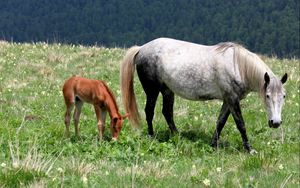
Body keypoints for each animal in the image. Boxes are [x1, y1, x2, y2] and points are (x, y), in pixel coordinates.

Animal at [120, 37, 288, 153]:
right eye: (267, 96)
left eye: (284, 96)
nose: (275, 122)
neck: (238, 66)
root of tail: (142, 48)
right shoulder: (232, 99)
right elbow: (241, 124)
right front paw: (249, 149)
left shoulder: (228, 100)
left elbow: (220, 122)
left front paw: (214, 144)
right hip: (152, 90)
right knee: (149, 111)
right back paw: (151, 136)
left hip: (167, 90)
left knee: (167, 112)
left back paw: (178, 136)